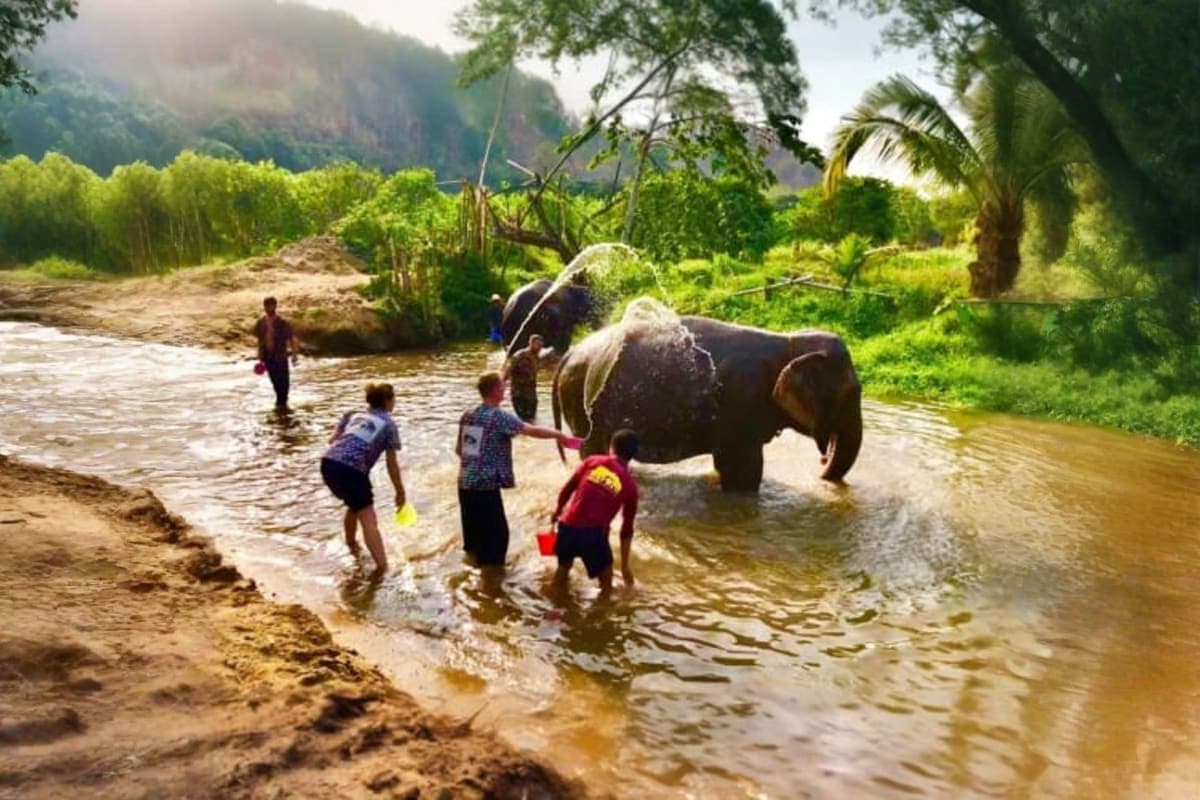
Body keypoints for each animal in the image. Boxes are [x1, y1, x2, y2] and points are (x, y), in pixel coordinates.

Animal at [551, 315, 863, 491]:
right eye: (851, 393)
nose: (821, 462)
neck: (789, 341)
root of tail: (570, 354)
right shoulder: (741, 402)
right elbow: (744, 471)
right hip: (582, 398)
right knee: (591, 448)